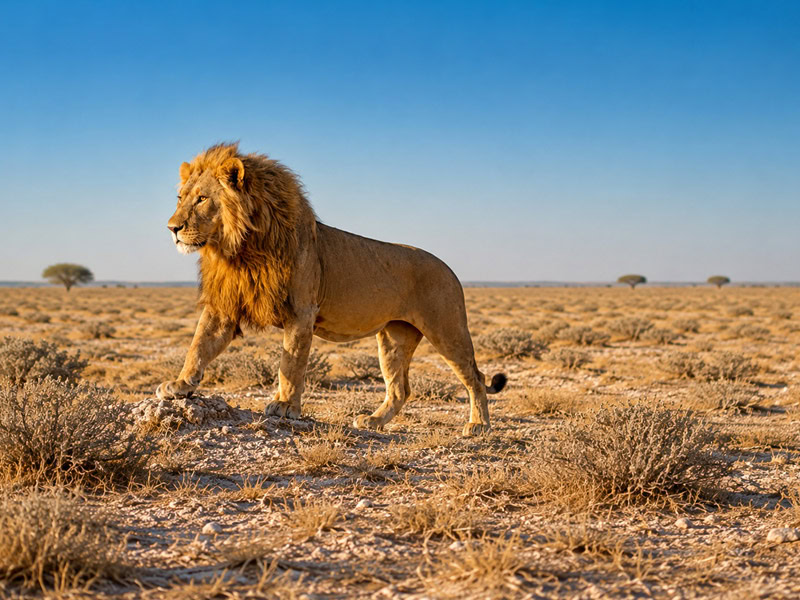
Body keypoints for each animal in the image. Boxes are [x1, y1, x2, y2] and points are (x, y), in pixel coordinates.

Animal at [157, 143, 506, 435]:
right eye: (180, 198)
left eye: (202, 198)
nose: (172, 228)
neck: (240, 248)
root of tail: (449, 268)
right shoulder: (224, 308)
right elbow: (198, 346)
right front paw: (180, 385)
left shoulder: (301, 312)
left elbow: (291, 364)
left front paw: (284, 406)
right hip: (395, 337)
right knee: (400, 388)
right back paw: (373, 421)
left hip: (447, 329)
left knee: (475, 377)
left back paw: (479, 425)